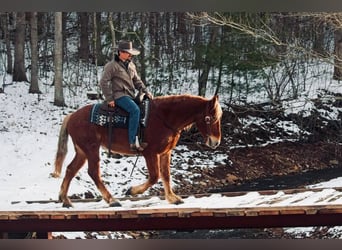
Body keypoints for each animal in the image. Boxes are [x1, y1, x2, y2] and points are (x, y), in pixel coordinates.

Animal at [50, 94, 222, 207]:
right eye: (210, 118)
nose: (216, 142)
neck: (164, 118)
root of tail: (72, 116)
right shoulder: (149, 153)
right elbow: (154, 176)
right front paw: (132, 191)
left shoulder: (165, 153)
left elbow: (166, 175)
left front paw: (172, 198)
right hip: (91, 149)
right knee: (93, 172)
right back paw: (112, 200)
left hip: (82, 151)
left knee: (70, 169)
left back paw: (65, 200)